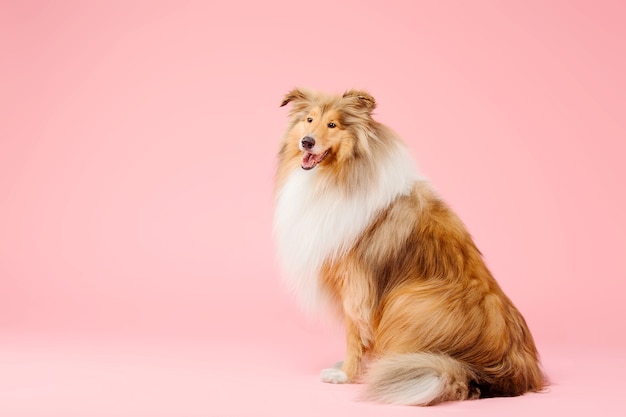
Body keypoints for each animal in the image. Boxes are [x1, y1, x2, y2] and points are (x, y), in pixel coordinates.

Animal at [270, 87, 544, 404]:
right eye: (309, 119)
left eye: (333, 125)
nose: (307, 141)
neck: (338, 176)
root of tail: (514, 374)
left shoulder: (356, 288)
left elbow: (354, 335)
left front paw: (345, 375)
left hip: (409, 299)